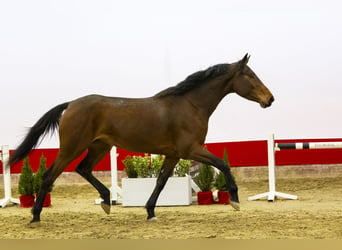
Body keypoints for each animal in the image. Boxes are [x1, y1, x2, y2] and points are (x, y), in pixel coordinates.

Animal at [9, 53, 274, 226]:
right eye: (250, 75)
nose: (270, 99)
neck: (190, 105)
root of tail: (71, 104)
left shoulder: (174, 154)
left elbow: (161, 181)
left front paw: (150, 212)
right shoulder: (191, 149)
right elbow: (223, 164)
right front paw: (235, 200)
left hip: (99, 146)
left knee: (83, 169)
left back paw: (106, 201)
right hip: (72, 147)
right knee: (49, 175)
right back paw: (35, 216)